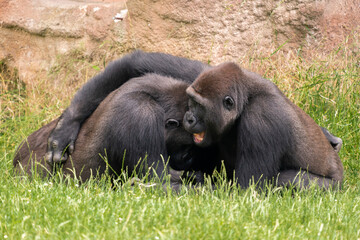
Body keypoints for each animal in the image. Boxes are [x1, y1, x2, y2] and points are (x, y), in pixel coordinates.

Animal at [183, 62, 344, 189]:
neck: (245, 100)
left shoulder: (261, 118)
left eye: (199, 105)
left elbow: (247, 188)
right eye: (191, 100)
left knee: (289, 180)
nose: (189, 118)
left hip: (333, 186)